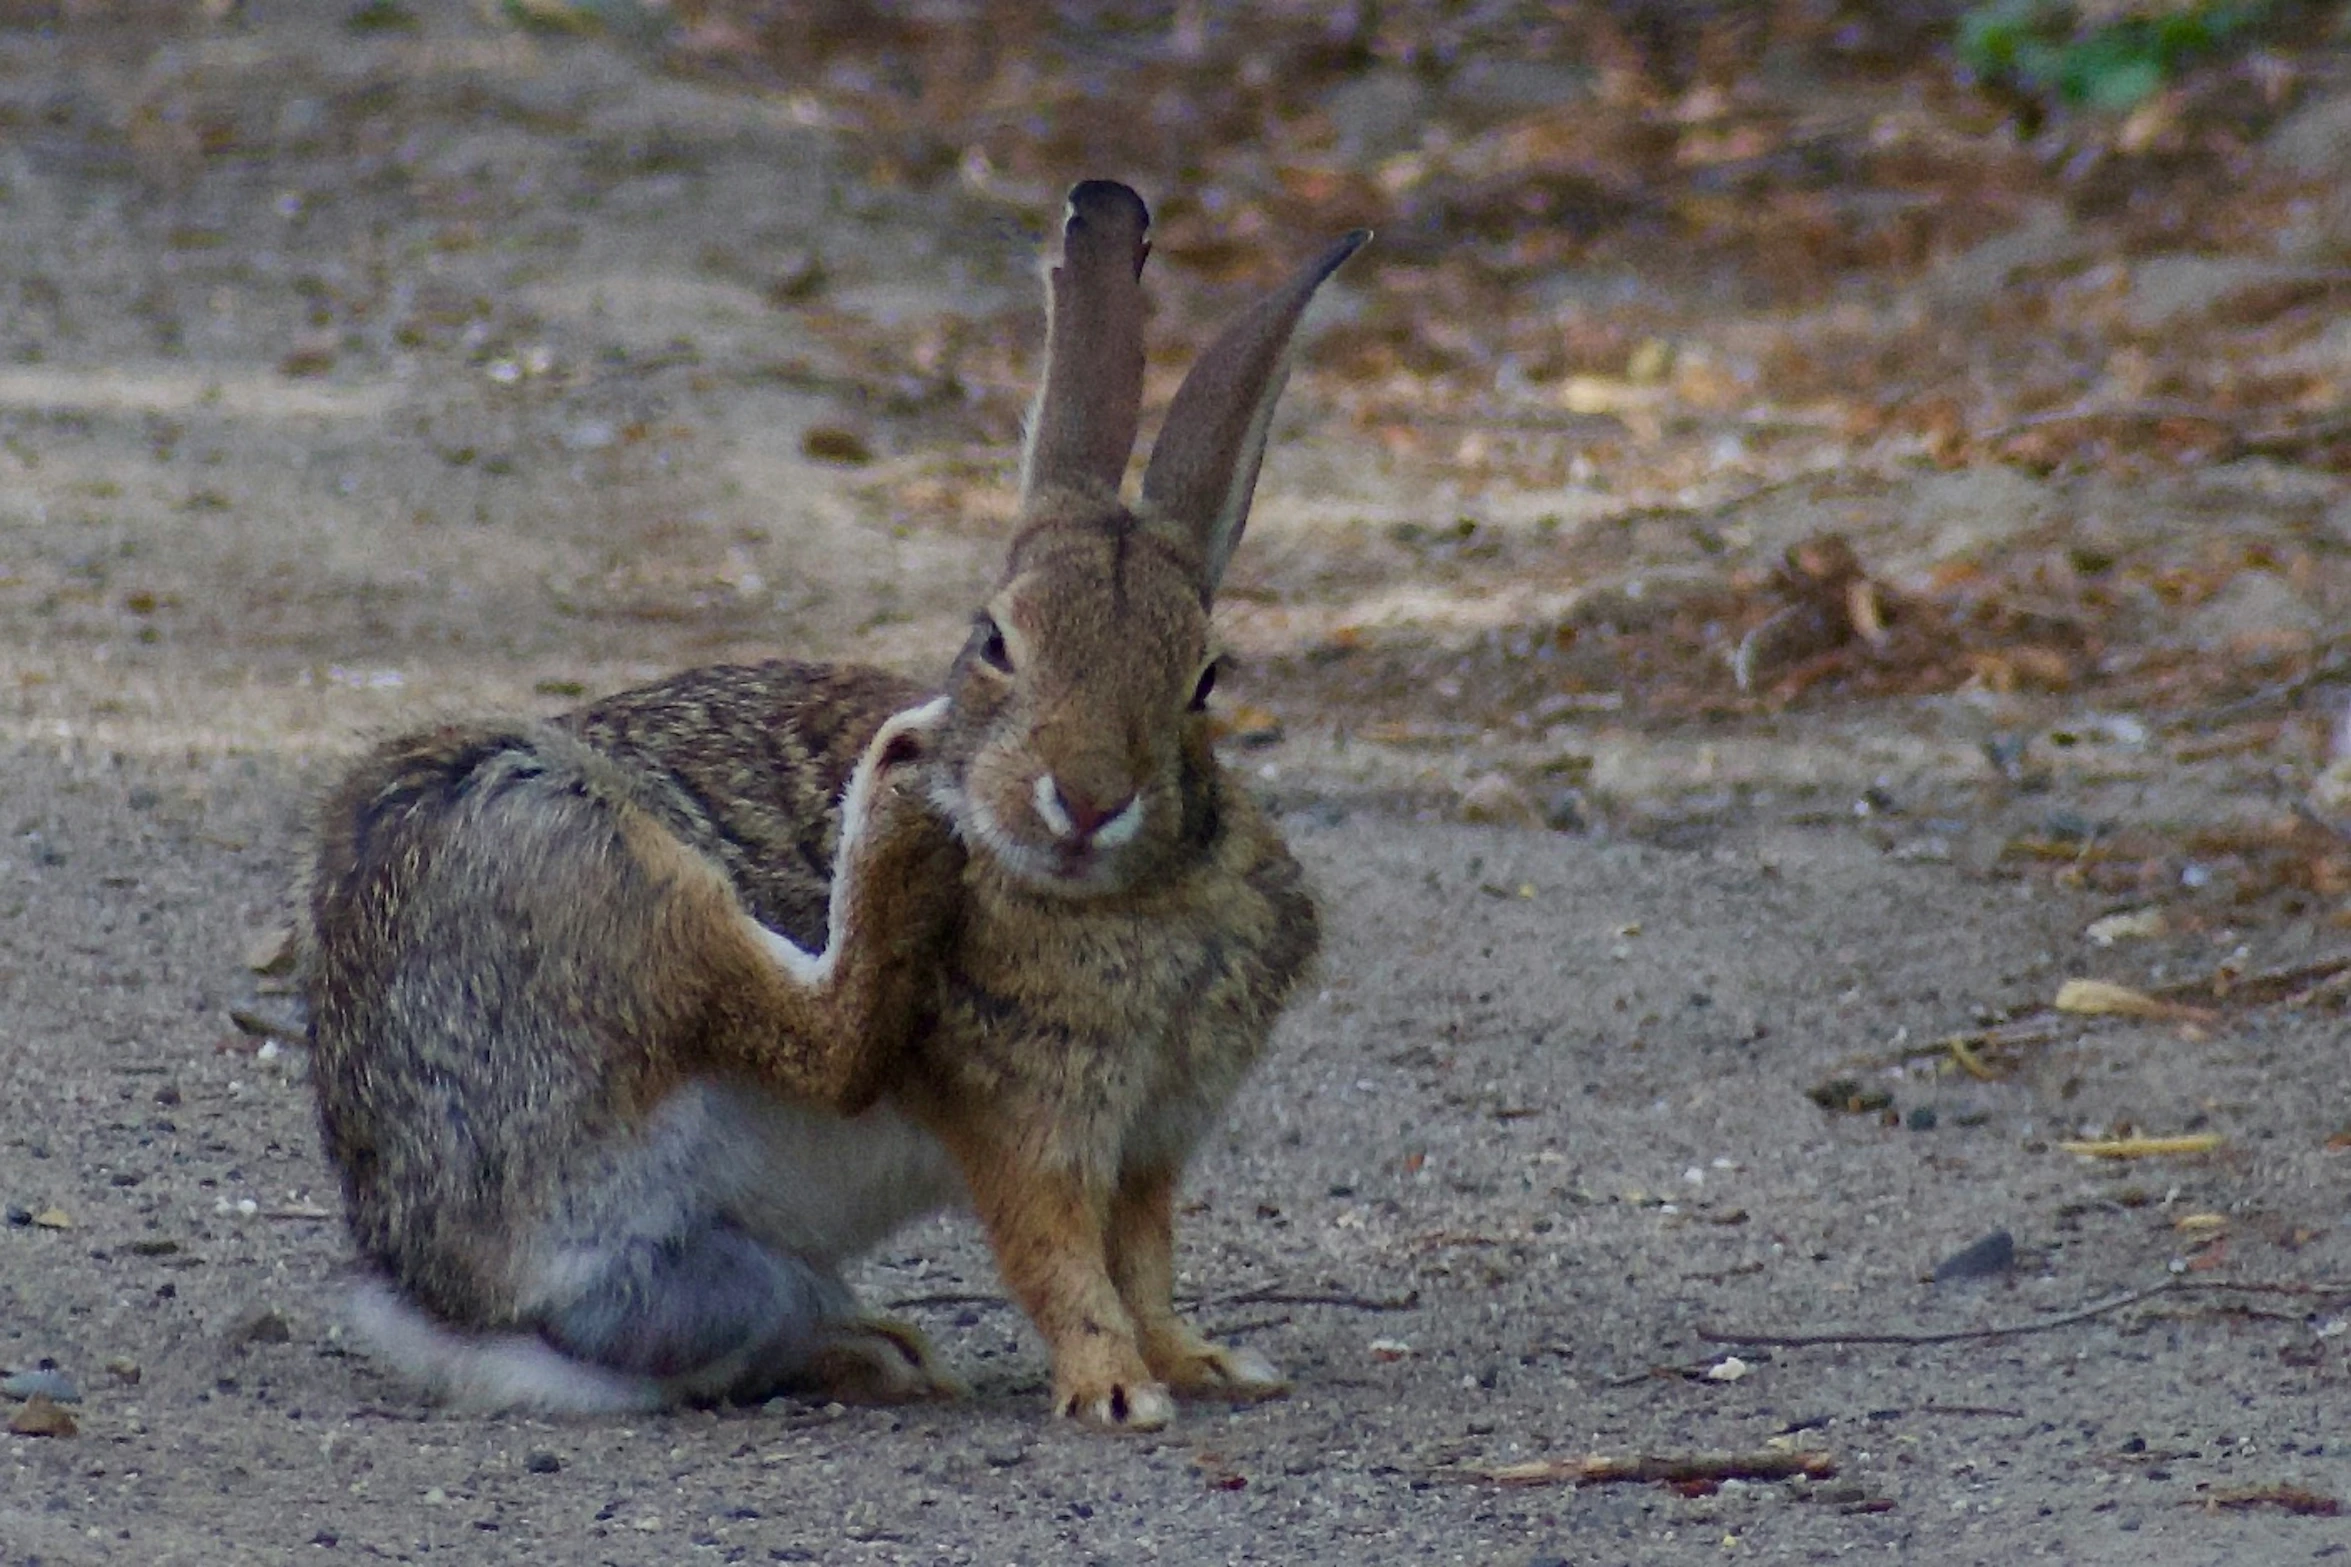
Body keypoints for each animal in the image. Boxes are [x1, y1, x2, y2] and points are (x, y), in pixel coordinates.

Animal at [298, 184, 1363, 1437]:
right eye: (994, 642)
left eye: (1205, 676)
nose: (1087, 798)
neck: (1130, 897)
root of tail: (434, 1283)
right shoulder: (1027, 1123)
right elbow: (1058, 1259)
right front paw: (1112, 1389)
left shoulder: (1151, 1143)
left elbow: (1142, 1261)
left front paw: (1199, 1362)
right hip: (576, 853)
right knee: (826, 1042)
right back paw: (894, 798)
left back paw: (875, 1351)